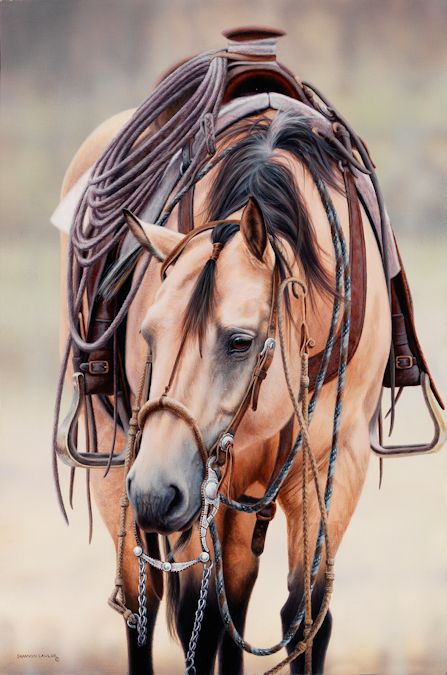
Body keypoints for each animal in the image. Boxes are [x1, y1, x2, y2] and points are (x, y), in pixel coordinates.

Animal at [52, 26, 444, 675]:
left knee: (230, 597)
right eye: (148, 335)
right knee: (148, 607)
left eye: (240, 341)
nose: (156, 492)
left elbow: (305, 617)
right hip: (122, 465)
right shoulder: (194, 482)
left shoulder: (335, 465)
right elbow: (197, 618)